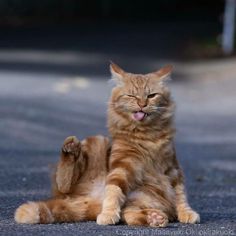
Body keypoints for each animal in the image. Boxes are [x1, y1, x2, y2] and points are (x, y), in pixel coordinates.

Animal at [14, 62, 199, 227]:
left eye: (151, 95)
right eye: (131, 96)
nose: (142, 104)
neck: (147, 136)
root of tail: (90, 199)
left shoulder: (173, 168)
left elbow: (180, 195)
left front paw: (187, 213)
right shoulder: (122, 166)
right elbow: (114, 191)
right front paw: (108, 214)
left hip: (145, 198)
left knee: (129, 214)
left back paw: (155, 218)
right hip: (97, 142)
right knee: (65, 183)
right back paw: (71, 148)